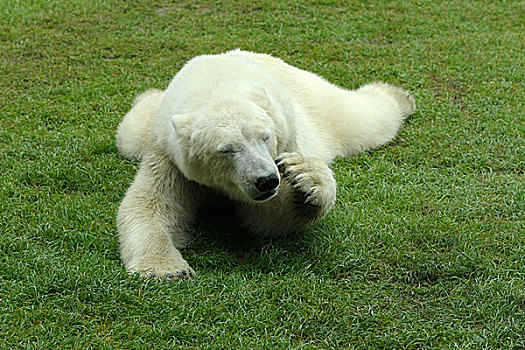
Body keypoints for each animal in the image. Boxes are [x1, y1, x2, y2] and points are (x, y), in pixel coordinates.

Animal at [114, 49, 414, 280]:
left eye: (265, 136)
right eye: (227, 150)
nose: (267, 180)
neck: (216, 83)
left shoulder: (287, 135)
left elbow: (267, 216)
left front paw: (305, 179)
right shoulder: (169, 154)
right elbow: (149, 205)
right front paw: (167, 269)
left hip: (313, 100)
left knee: (361, 119)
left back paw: (399, 96)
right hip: (140, 132)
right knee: (131, 129)